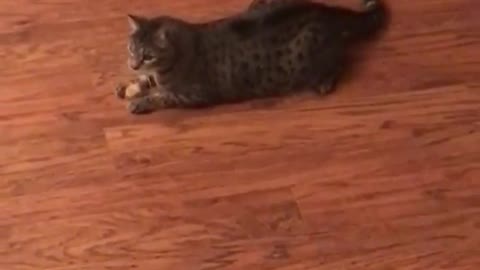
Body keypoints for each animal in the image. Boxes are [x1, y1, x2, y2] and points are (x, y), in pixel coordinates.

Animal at [115, 0, 386, 114]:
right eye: (130, 49)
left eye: (148, 55)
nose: (132, 64)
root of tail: (327, 10)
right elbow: (148, 82)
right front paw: (129, 86)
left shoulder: (195, 94)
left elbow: (162, 97)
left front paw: (140, 102)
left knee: (340, 60)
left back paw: (325, 82)